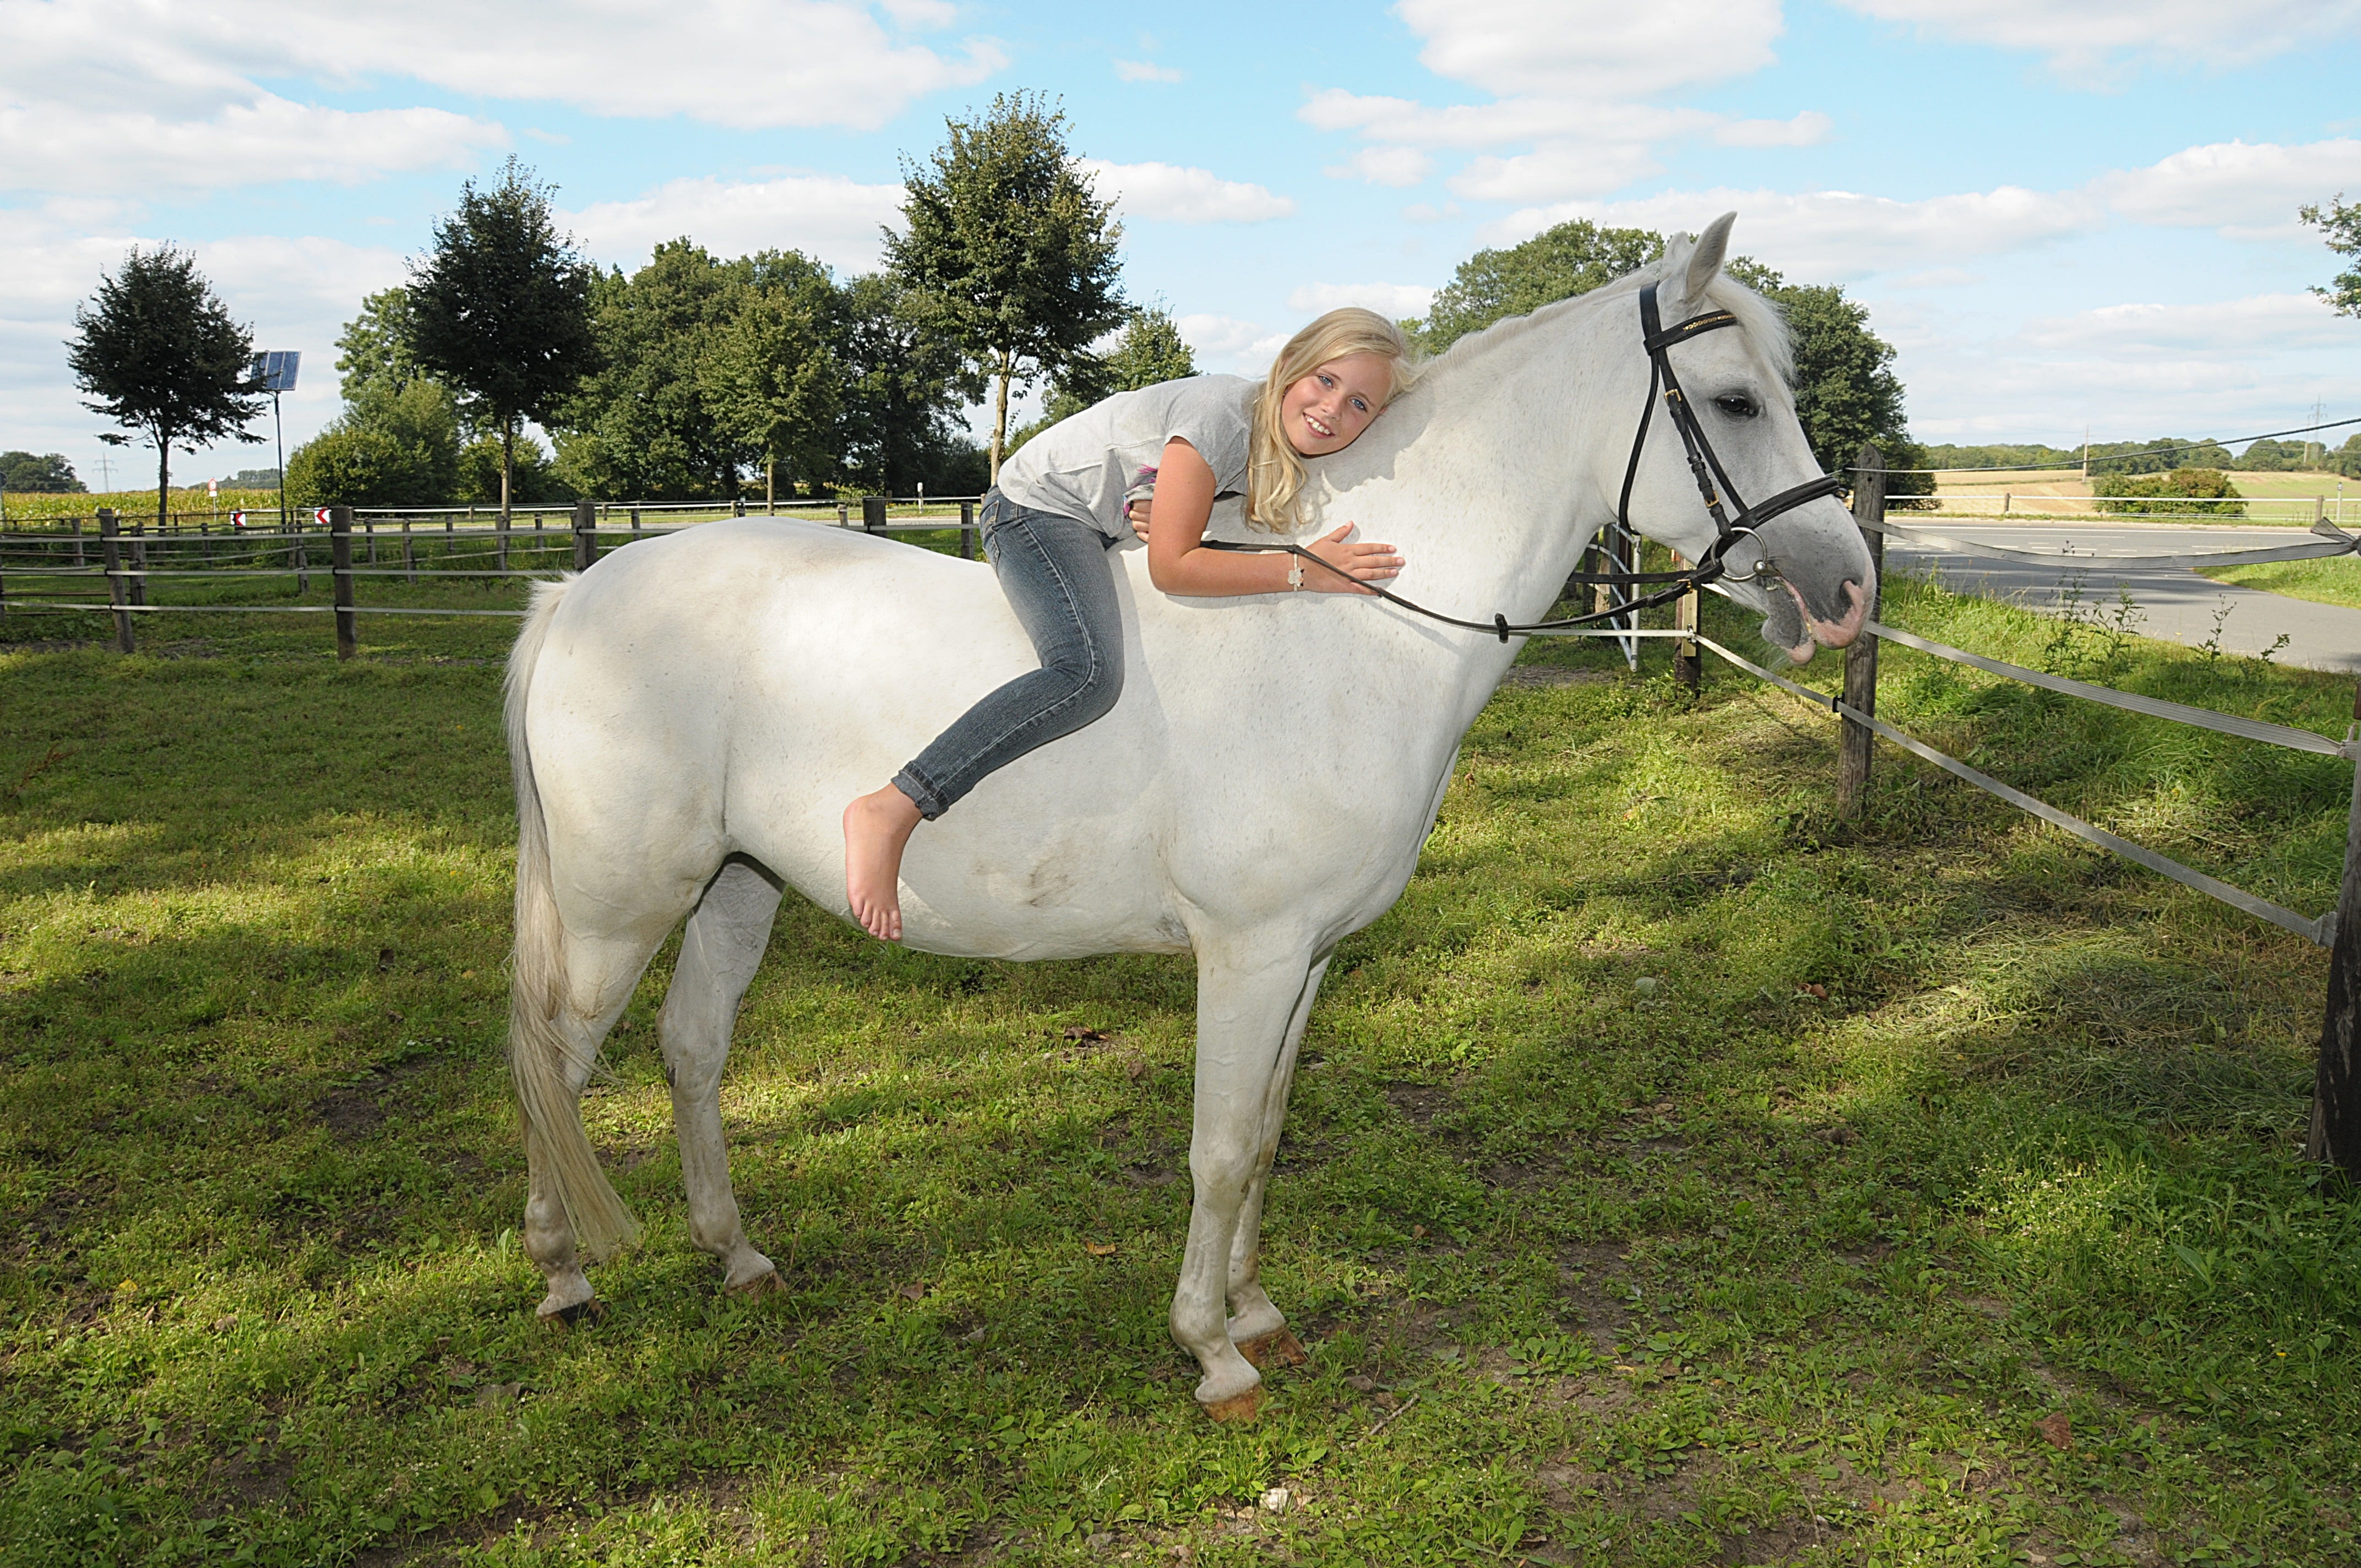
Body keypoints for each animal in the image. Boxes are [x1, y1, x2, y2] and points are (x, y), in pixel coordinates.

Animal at [501, 214, 1874, 1420]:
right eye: (1736, 401)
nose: (1847, 586)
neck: (1348, 627)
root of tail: (576, 592)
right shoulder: (1248, 951)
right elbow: (1214, 1147)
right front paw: (1212, 1352)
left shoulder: (1308, 956)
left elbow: (1262, 1134)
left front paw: (1255, 1307)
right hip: (621, 903)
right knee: (557, 1064)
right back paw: (562, 1272)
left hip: (736, 883)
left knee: (691, 1050)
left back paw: (733, 1254)